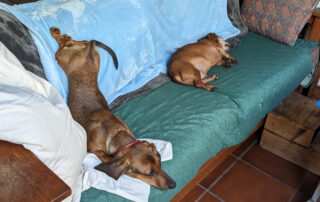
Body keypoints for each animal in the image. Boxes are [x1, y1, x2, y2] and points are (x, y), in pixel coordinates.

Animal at [50, 26, 176, 189]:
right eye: (150, 174)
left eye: (160, 163)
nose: (174, 184)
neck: (116, 133)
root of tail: (88, 51)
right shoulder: (93, 148)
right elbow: (108, 157)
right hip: (61, 57)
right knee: (64, 44)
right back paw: (56, 32)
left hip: (92, 57)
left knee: (78, 41)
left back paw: (64, 35)